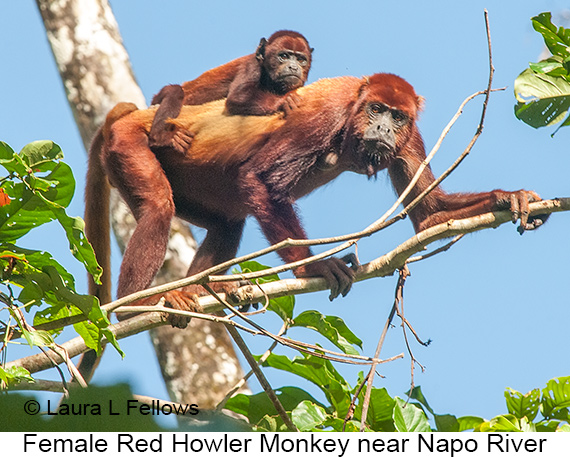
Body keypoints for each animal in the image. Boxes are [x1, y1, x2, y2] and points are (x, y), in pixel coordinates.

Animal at [85, 74, 544, 334]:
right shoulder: (325, 113)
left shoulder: (410, 136)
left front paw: (510, 196)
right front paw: (314, 269)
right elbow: (261, 179)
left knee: (229, 222)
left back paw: (203, 289)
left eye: (396, 117)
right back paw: (136, 306)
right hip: (128, 146)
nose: (382, 128)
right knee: (159, 206)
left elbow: (429, 215)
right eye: (376, 109)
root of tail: (125, 119)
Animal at [148, 31, 310, 155]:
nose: (293, 67)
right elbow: (238, 97)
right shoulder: (252, 65)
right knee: (175, 91)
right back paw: (160, 138)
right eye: (284, 56)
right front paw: (285, 100)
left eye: (301, 59)